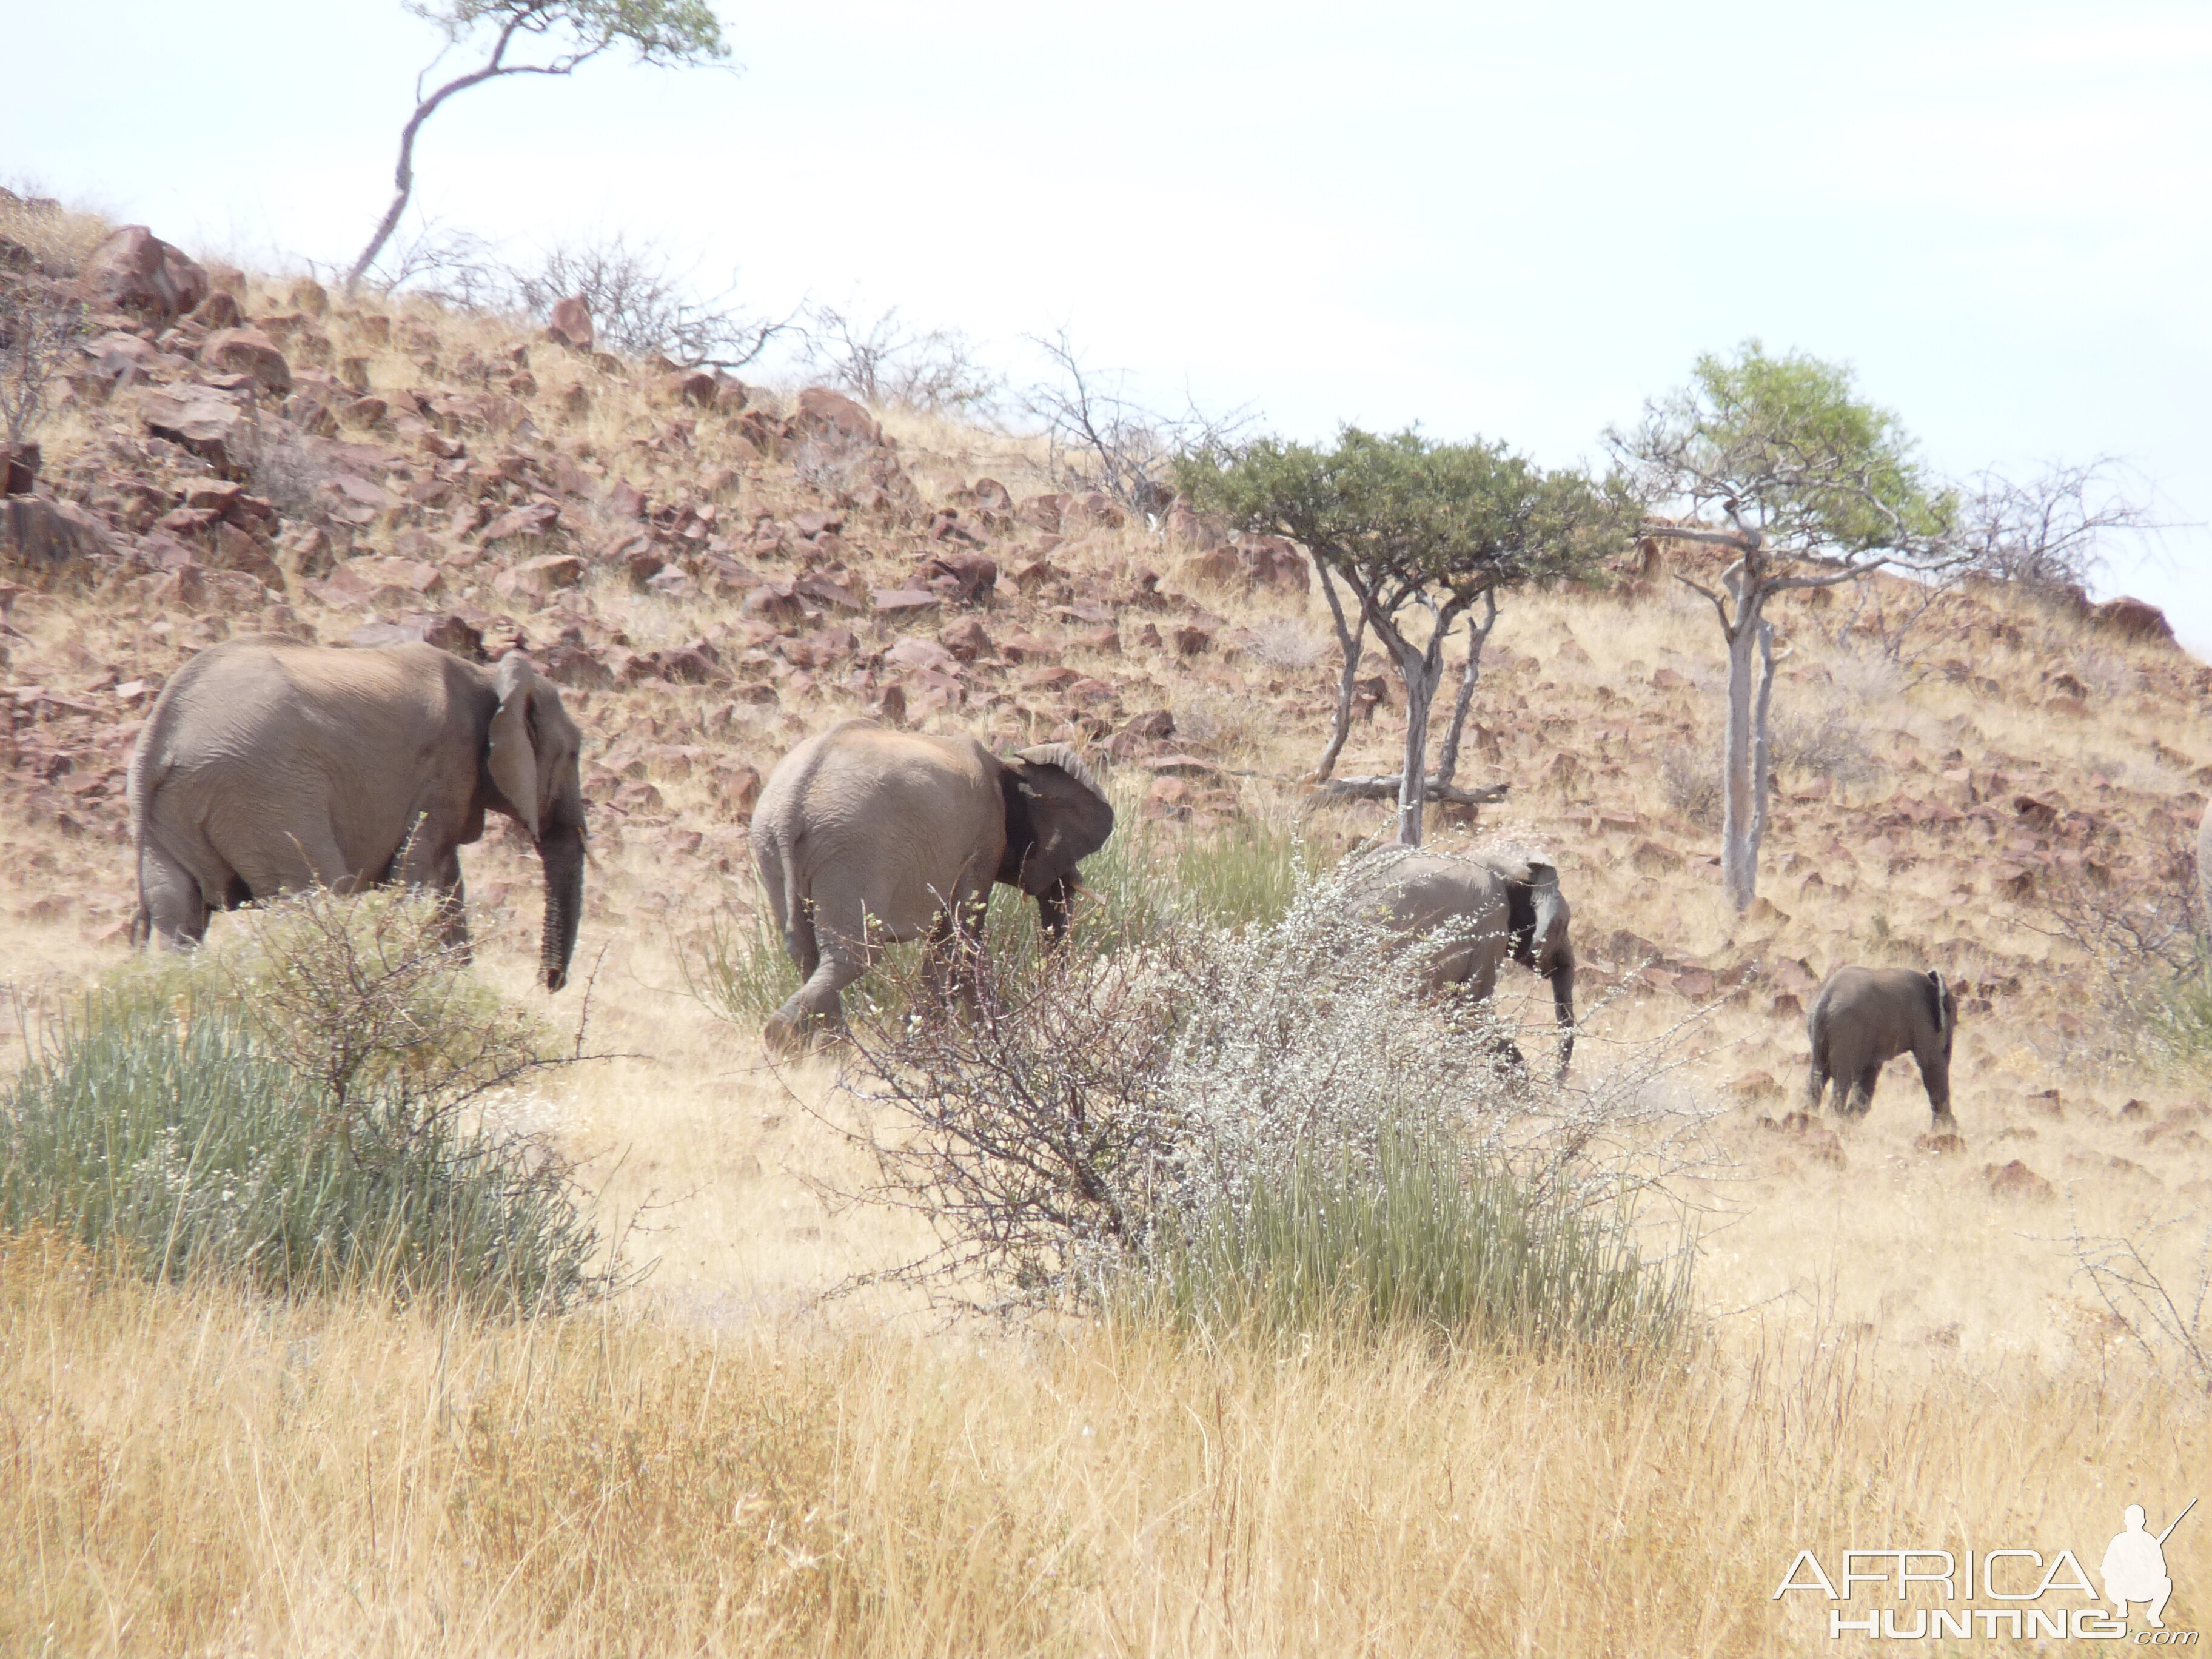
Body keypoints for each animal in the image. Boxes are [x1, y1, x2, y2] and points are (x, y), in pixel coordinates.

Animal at [126, 641, 584, 995]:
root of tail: (160, 735)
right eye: (575, 753)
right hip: (267, 795)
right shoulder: (444, 773)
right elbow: (422, 878)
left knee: (178, 917)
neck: (487, 676)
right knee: (313, 897)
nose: (549, 984)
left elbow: (447, 886)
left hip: (169, 820)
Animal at [752, 716, 1114, 1053]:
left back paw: (825, 1051)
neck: (1007, 767)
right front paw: (967, 1042)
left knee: (805, 951)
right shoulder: (983, 839)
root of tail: (793, 802)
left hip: (772, 845)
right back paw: (787, 1038)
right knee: (855, 954)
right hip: (851, 850)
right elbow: (959, 934)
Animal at [1805, 960, 1964, 1132]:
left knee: (1819, 1074)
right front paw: (1947, 1129)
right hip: (1847, 1028)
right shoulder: (1923, 1018)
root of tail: (1825, 998)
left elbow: (1870, 1071)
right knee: (1843, 1078)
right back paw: (1835, 1120)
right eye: (1954, 1022)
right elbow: (1931, 1064)